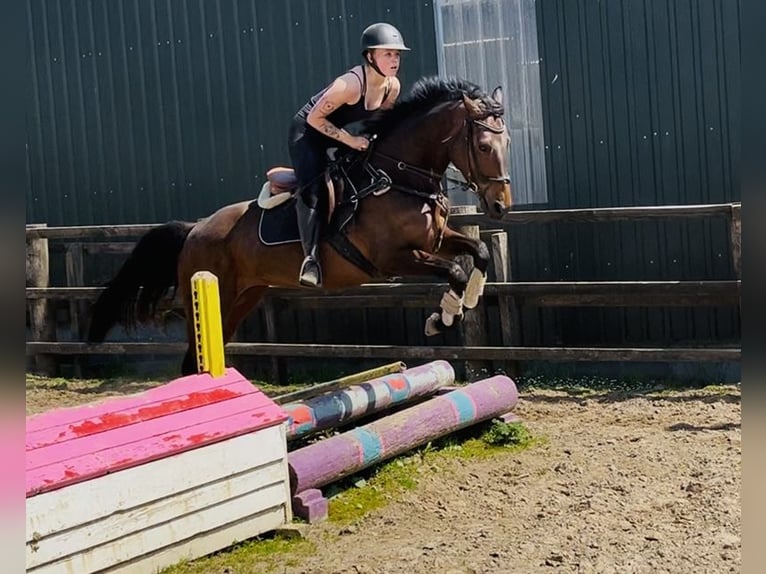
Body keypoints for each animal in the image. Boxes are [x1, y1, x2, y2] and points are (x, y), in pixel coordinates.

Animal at [87, 76, 513, 376]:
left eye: (506, 141)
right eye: (483, 146)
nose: (500, 205)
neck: (397, 177)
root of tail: (196, 229)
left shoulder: (435, 240)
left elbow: (478, 252)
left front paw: (464, 304)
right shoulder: (393, 259)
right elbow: (454, 270)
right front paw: (443, 318)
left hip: (243, 298)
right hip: (218, 291)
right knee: (193, 361)